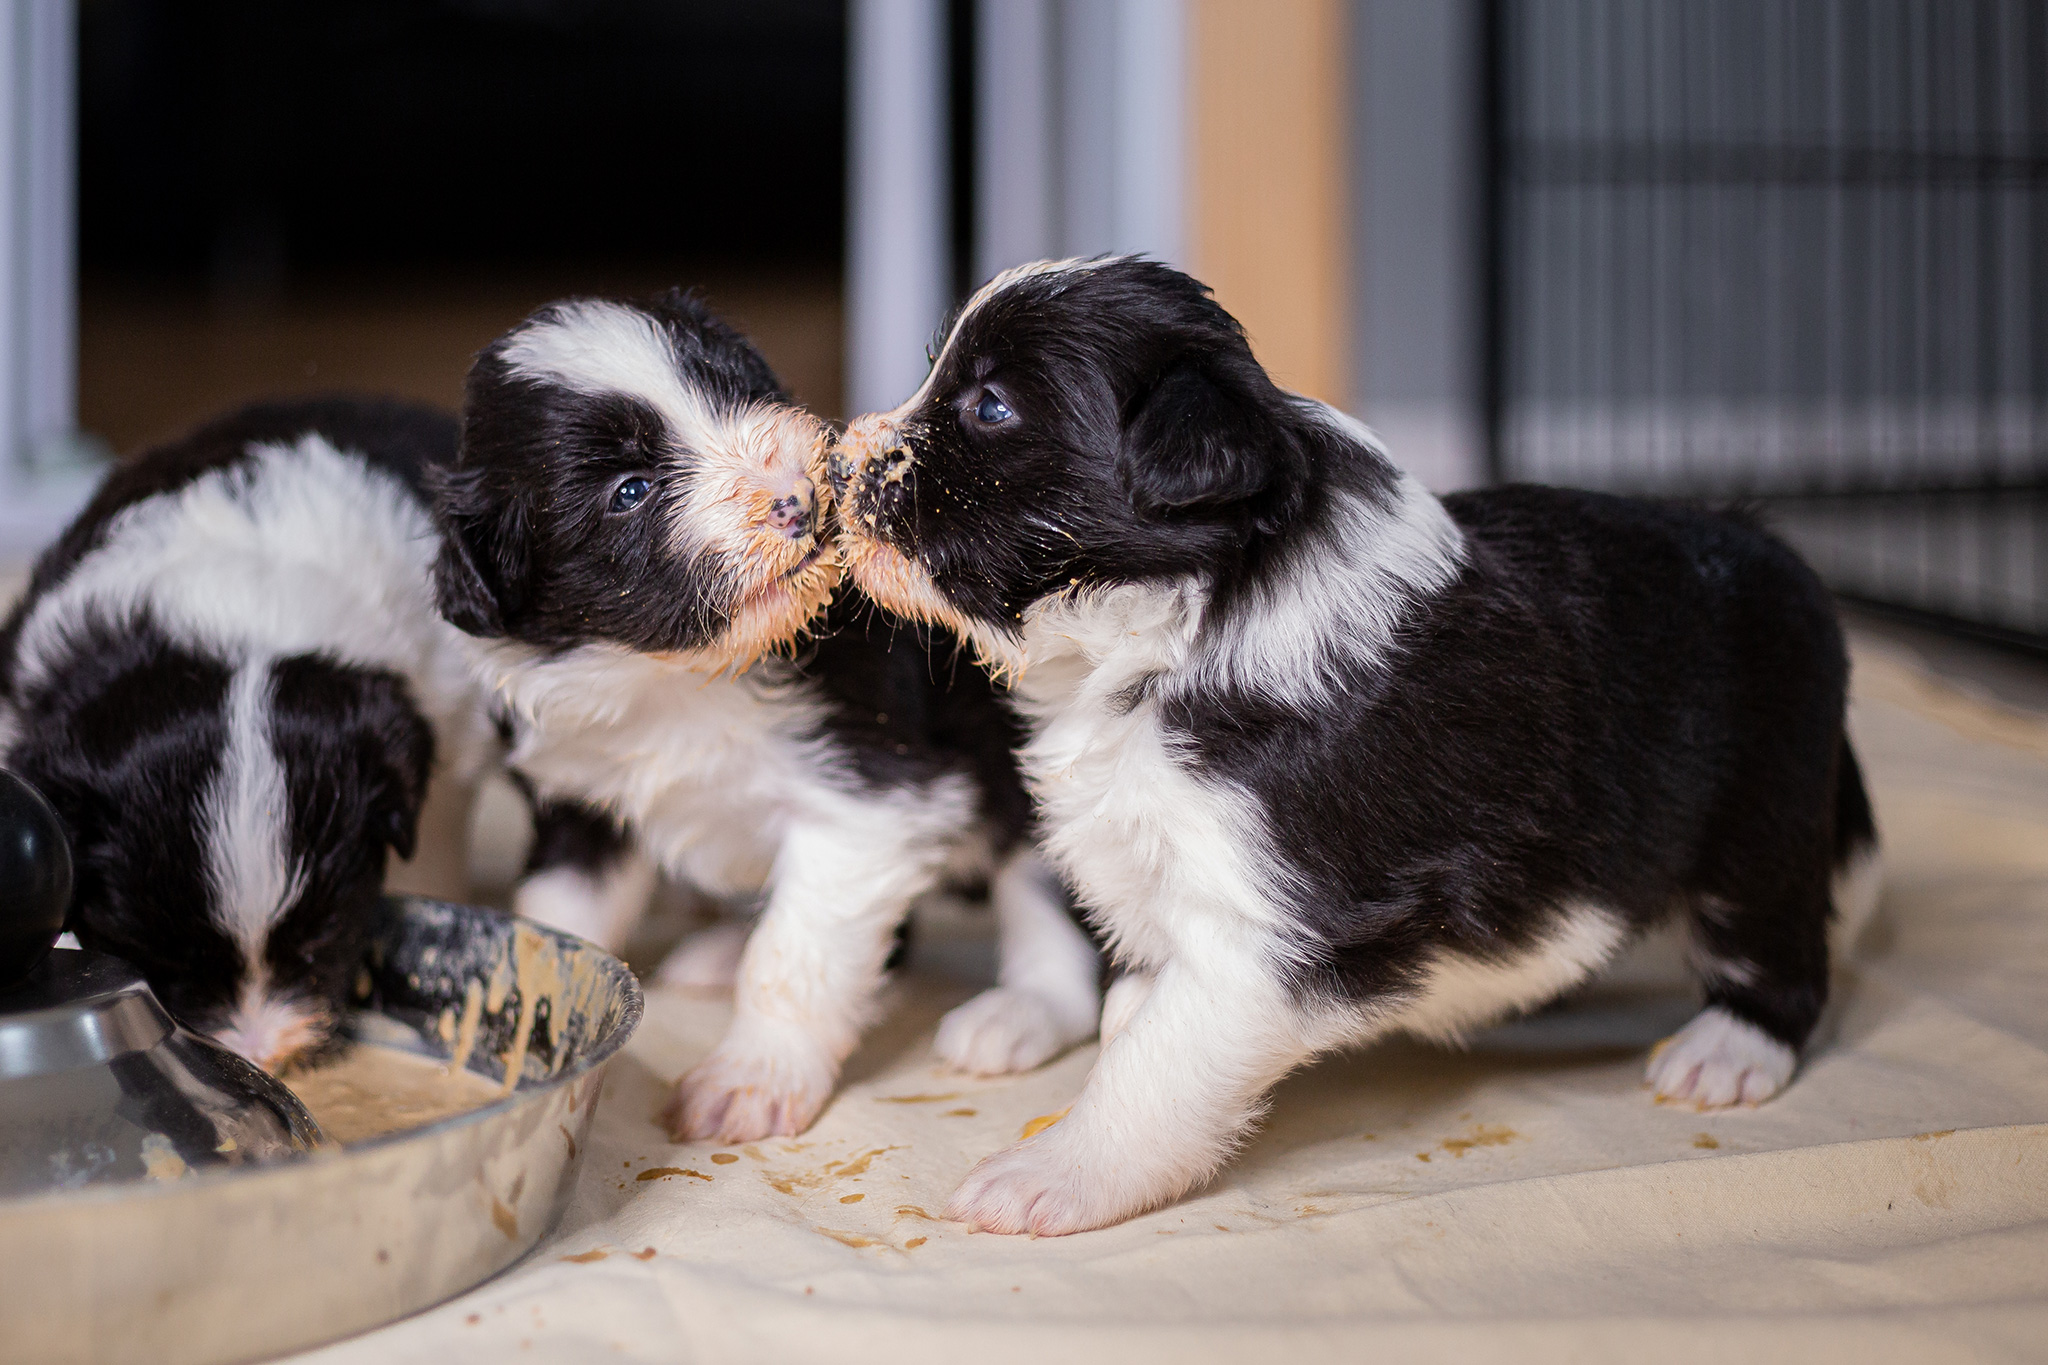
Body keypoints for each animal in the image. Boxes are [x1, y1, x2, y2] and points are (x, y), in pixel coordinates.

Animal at [827, 255, 1875, 1236]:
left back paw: (1725, 1054)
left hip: (1760, 822)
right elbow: (1137, 1018)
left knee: (1779, 952)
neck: (1172, 626)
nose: (837, 466)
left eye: (990, 405)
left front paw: (1049, 1175)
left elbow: (1155, 1066)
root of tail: (1790, 564)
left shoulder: (1270, 931)